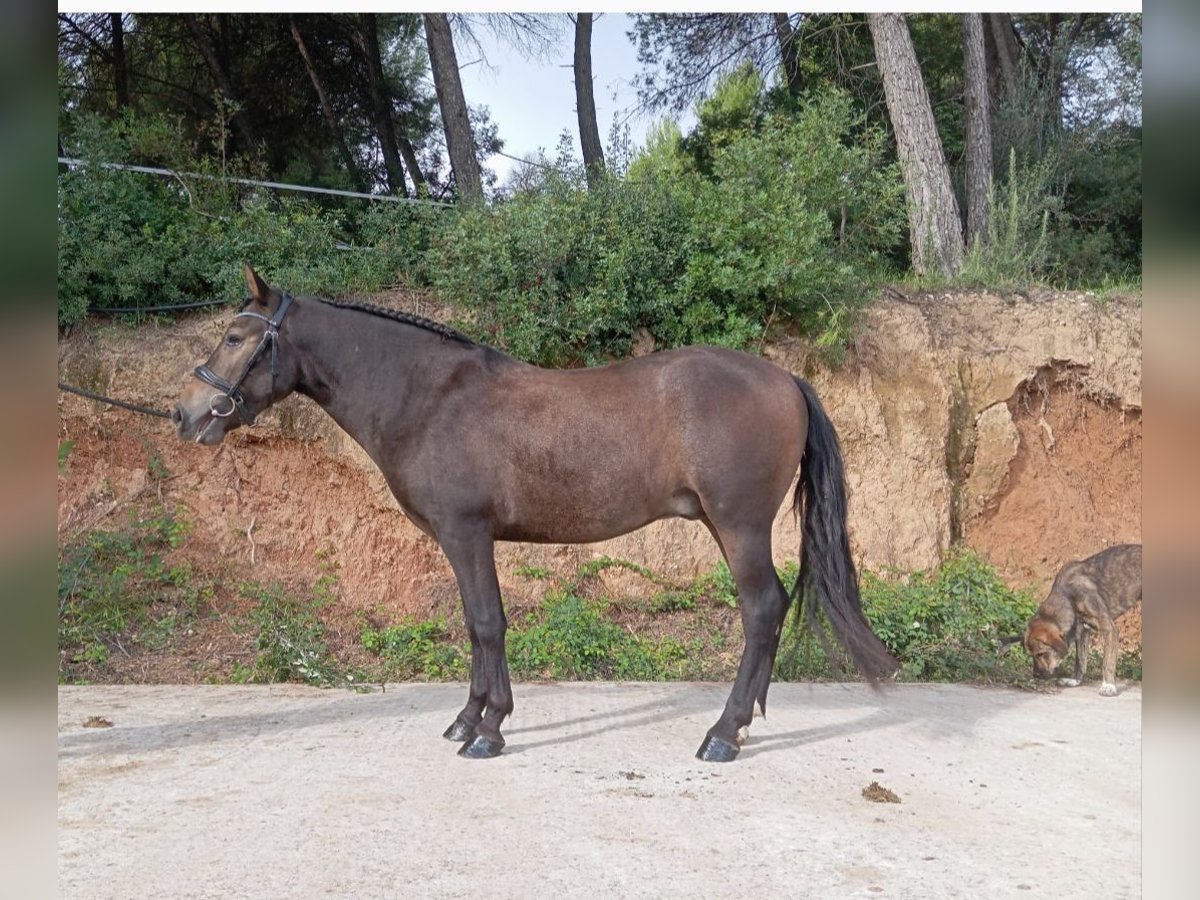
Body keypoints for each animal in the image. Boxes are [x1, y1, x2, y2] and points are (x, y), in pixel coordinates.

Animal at [172, 265, 895, 761]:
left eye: (235, 336)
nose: (185, 414)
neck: (428, 398)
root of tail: (786, 379)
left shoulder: (467, 533)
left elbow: (488, 624)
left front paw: (489, 730)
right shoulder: (464, 540)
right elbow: (474, 627)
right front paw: (467, 720)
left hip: (739, 527)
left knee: (762, 610)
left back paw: (723, 732)